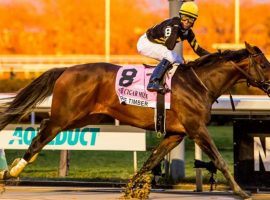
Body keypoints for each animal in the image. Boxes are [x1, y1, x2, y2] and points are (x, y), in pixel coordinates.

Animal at [0, 42, 270, 198]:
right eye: (265, 64)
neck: (199, 83)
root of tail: (66, 70)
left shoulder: (176, 134)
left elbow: (151, 161)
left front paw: (131, 187)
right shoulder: (196, 128)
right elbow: (220, 159)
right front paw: (241, 191)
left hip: (84, 116)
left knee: (44, 133)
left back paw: (12, 167)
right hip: (65, 115)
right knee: (42, 134)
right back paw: (11, 171)